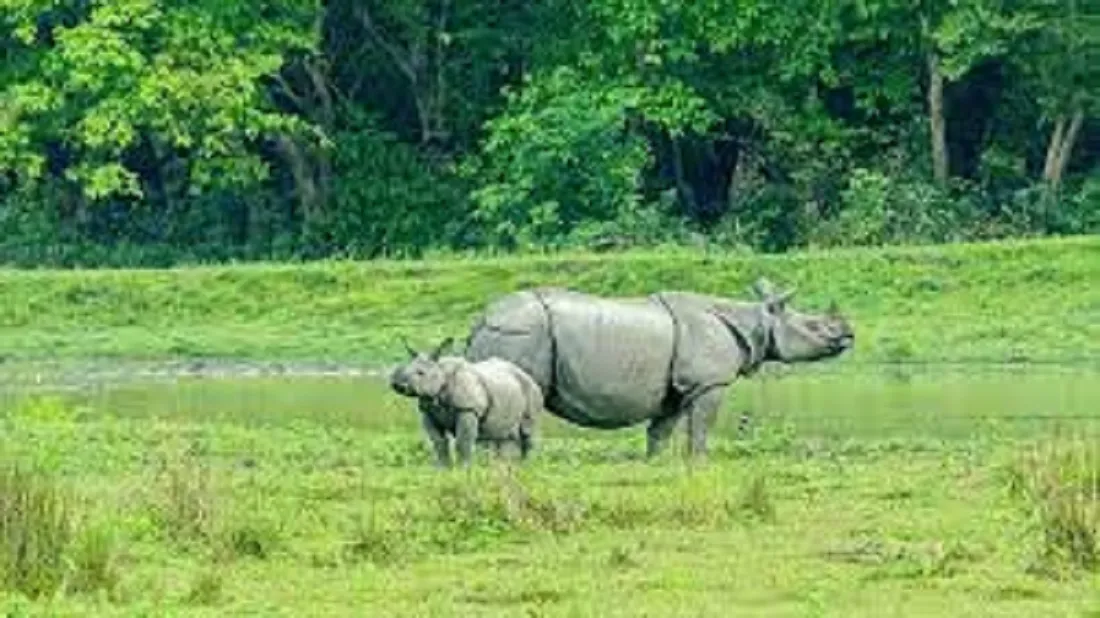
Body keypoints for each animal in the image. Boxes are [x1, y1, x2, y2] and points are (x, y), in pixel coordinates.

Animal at [389, 336, 543, 466]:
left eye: (421, 373)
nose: (397, 385)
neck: (441, 372)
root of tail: (527, 374)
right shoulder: (428, 412)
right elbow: (439, 442)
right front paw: (443, 468)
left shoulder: (467, 409)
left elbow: (463, 442)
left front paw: (464, 469)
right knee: (501, 435)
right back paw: (504, 466)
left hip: (531, 388)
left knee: (526, 431)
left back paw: (527, 466)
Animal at [459, 274, 853, 457]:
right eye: (816, 327)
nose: (849, 335)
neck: (756, 320)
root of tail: (480, 320)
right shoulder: (709, 383)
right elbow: (700, 429)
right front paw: (700, 464)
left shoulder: (675, 389)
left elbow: (660, 432)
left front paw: (656, 465)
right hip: (522, 332)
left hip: (514, 332)